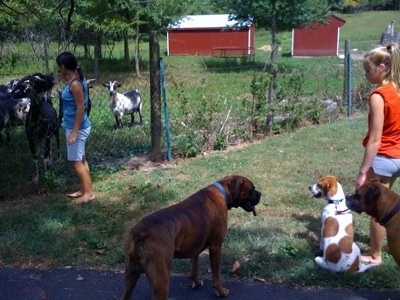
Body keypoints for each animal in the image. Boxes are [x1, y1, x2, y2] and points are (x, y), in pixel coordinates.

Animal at [120, 175, 260, 298]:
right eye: (251, 189)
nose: (260, 193)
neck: (222, 191)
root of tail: (140, 233)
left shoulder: (195, 247)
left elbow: (194, 267)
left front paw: (196, 283)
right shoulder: (216, 247)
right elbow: (216, 274)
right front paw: (220, 291)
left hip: (130, 276)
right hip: (161, 279)